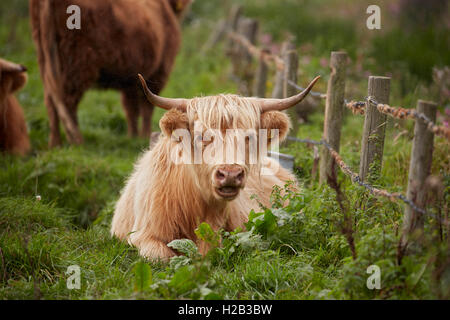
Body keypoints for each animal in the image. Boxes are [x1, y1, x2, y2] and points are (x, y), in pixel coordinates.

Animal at [29, 0, 192, 147]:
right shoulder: (158, 72)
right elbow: (146, 108)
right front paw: (144, 136)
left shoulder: (131, 81)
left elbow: (131, 109)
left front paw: (133, 136)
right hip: (76, 63)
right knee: (68, 102)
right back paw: (76, 141)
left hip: (45, 59)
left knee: (51, 101)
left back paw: (55, 143)